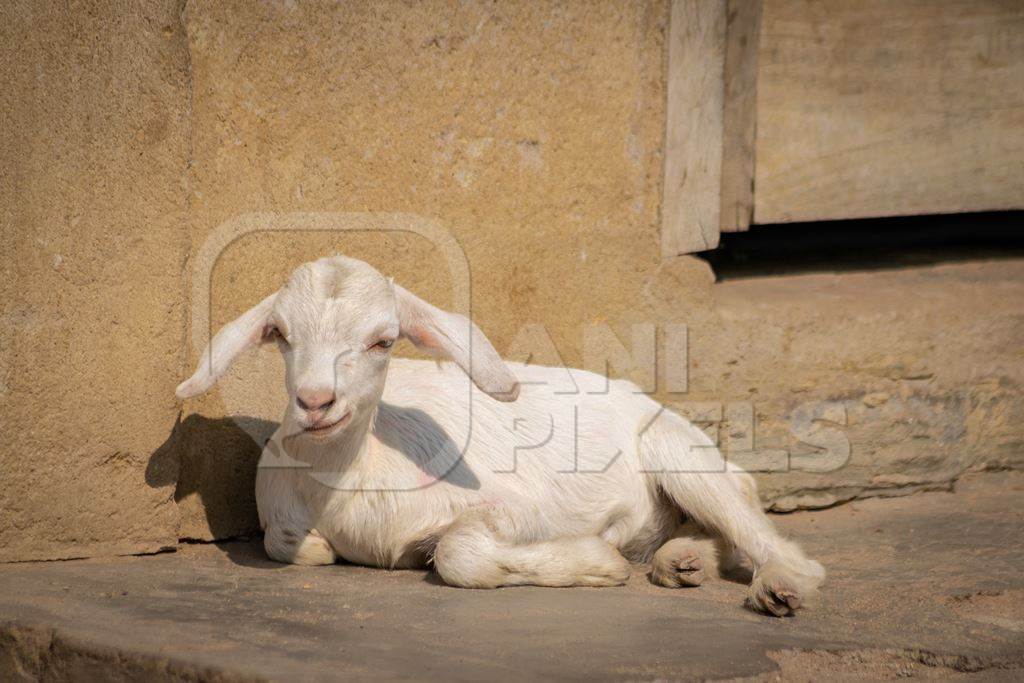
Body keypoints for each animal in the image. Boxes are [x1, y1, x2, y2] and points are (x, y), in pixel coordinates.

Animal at [178, 254, 823, 614]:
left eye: (383, 341)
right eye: (282, 335)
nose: (315, 402)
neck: (350, 480)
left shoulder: (518, 509)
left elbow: (459, 553)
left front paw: (596, 563)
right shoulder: (283, 516)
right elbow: (288, 543)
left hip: (675, 449)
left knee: (764, 536)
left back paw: (777, 588)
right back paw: (681, 562)